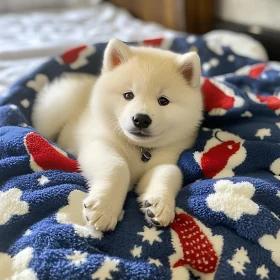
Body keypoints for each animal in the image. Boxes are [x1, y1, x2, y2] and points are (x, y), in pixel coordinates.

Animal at [32, 39, 203, 232]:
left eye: (163, 101)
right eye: (128, 95)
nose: (141, 119)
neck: (140, 149)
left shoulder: (170, 155)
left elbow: (170, 171)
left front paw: (159, 204)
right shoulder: (98, 143)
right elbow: (117, 166)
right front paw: (104, 208)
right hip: (58, 104)